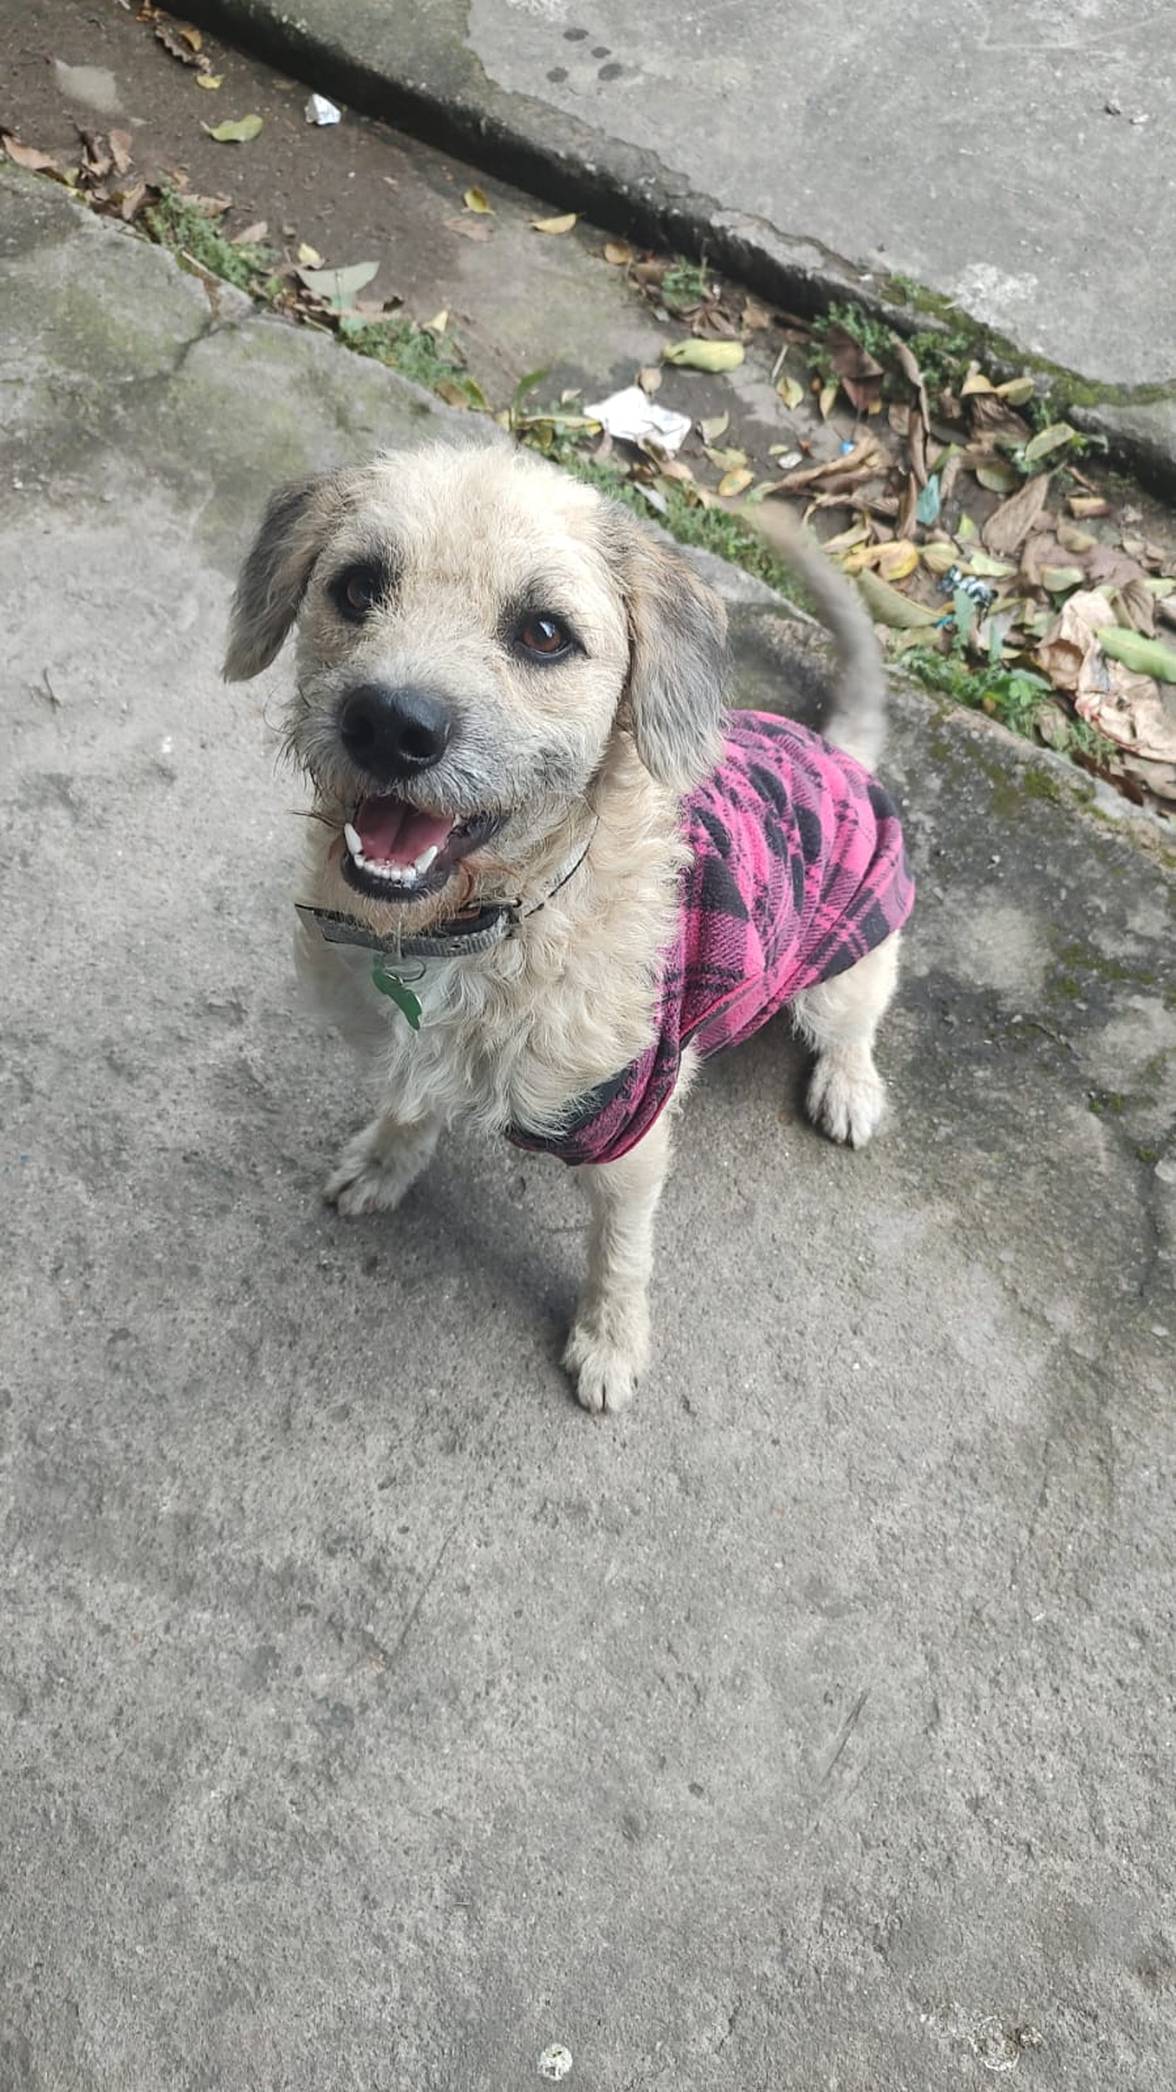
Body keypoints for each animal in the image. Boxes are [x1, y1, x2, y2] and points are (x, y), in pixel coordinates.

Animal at [225, 441, 913, 1414]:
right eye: (357, 587)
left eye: (544, 634)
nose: (389, 725)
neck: (493, 925)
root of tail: (842, 756)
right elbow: (407, 1103)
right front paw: (387, 1161)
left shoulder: (631, 1135)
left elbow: (619, 1253)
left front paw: (611, 1342)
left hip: (841, 975)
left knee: (855, 1024)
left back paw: (849, 1085)